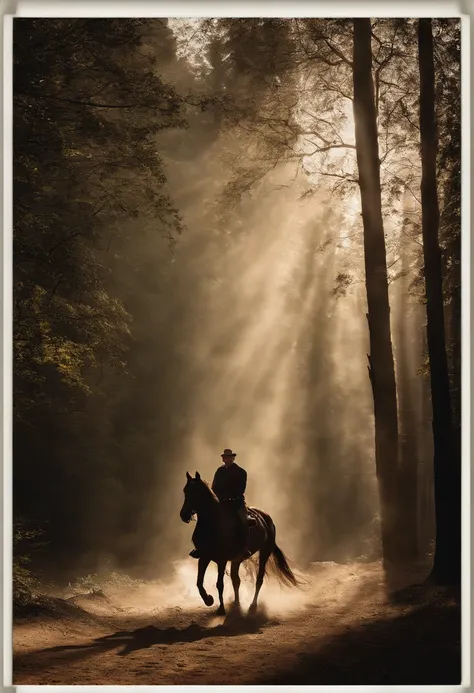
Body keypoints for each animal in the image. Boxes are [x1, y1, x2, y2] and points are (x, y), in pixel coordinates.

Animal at [180, 470, 298, 616]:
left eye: (196, 492)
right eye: (185, 491)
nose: (184, 515)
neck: (213, 523)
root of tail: (266, 517)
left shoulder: (222, 560)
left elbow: (219, 584)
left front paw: (221, 608)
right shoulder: (204, 557)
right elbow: (199, 582)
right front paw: (209, 600)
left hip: (265, 551)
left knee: (259, 579)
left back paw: (252, 606)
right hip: (237, 560)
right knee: (236, 580)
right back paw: (236, 603)